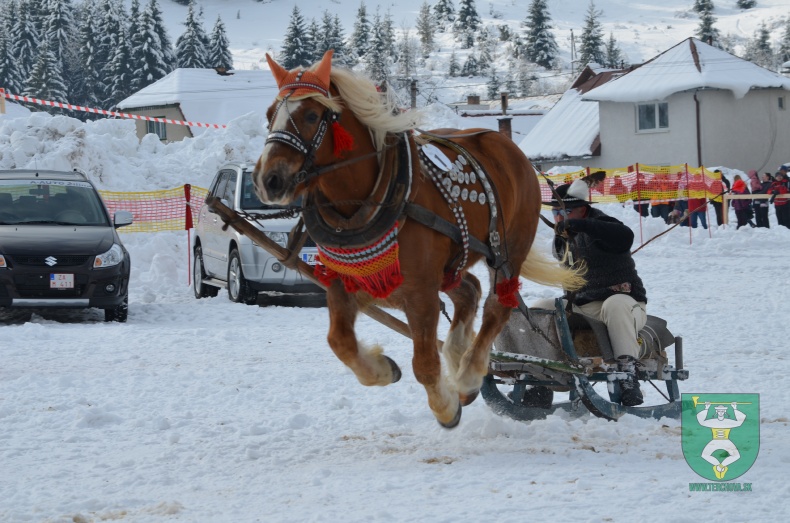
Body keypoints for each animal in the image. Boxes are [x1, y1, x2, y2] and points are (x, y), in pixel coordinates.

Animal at [256, 49, 584, 428]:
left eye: (311, 115)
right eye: (270, 115)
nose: (269, 180)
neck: (371, 200)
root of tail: (507, 146)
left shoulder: (420, 291)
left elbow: (425, 364)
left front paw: (446, 406)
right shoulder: (344, 282)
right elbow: (339, 341)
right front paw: (383, 370)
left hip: (507, 252)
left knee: (495, 307)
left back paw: (468, 375)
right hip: (451, 264)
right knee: (468, 290)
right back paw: (457, 355)